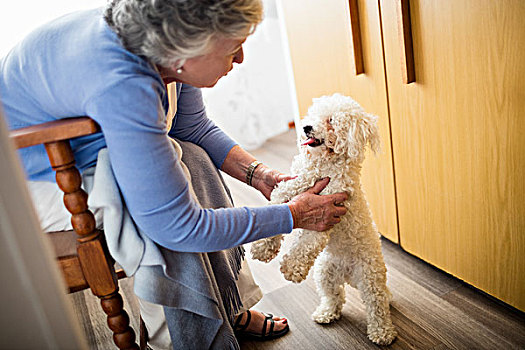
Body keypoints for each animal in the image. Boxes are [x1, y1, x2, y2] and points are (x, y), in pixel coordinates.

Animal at [252, 93, 396, 344]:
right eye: (314, 115)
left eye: (331, 120)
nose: (306, 127)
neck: (322, 166)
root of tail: (348, 274)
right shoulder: (292, 187)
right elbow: (276, 209)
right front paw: (262, 248)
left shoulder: (325, 214)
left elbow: (306, 244)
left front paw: (291, 268)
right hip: (325, 273)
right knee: (333, 297)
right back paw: (325, 313)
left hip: (370, 278)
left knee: (376, 307)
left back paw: (382, 333)